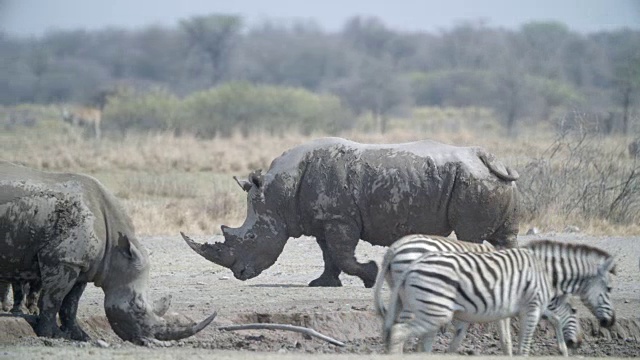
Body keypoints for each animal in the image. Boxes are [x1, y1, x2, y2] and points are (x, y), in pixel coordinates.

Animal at [0, 162, 216, 344]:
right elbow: (54, 299)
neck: (116, 252)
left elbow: (70, 304)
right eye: (137, 308)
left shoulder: (82, 264)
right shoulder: (62, 259)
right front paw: (50, 335)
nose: (148, 341)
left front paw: (80, 336)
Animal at [181, 136, 520, 288]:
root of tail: (489, 158)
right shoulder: (323, 220)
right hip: (491, 181)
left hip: (473, 182)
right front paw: (322, 284)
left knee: (469, 235)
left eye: (251, 238)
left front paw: (371, 276)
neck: (279, 194)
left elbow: (343, 254)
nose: (239, 274)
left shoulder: (340, 219)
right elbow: (328, 255)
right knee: (505, 237)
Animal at [382, 240, 612, 356]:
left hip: (405, 298)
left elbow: (458, 338)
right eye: (574, 311)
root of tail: (394, 247)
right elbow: (510, 338)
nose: (578, 343)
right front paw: (562, 348)